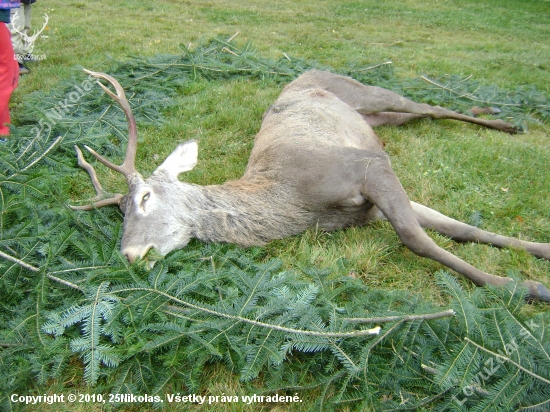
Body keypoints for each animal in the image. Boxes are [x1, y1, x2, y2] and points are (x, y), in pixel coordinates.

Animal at [72, 68, 550, 302]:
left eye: (145, 198)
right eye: (118, 212)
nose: (129, 255)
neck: (297, 204)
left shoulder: (368, 164)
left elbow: (416, 238)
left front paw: (526, 288)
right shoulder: (369, 206)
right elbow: (460, 228)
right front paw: (539, 255)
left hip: (368, 93)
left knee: (427, 105)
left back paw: (506, 121)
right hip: (376, 118)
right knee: (414, 114)